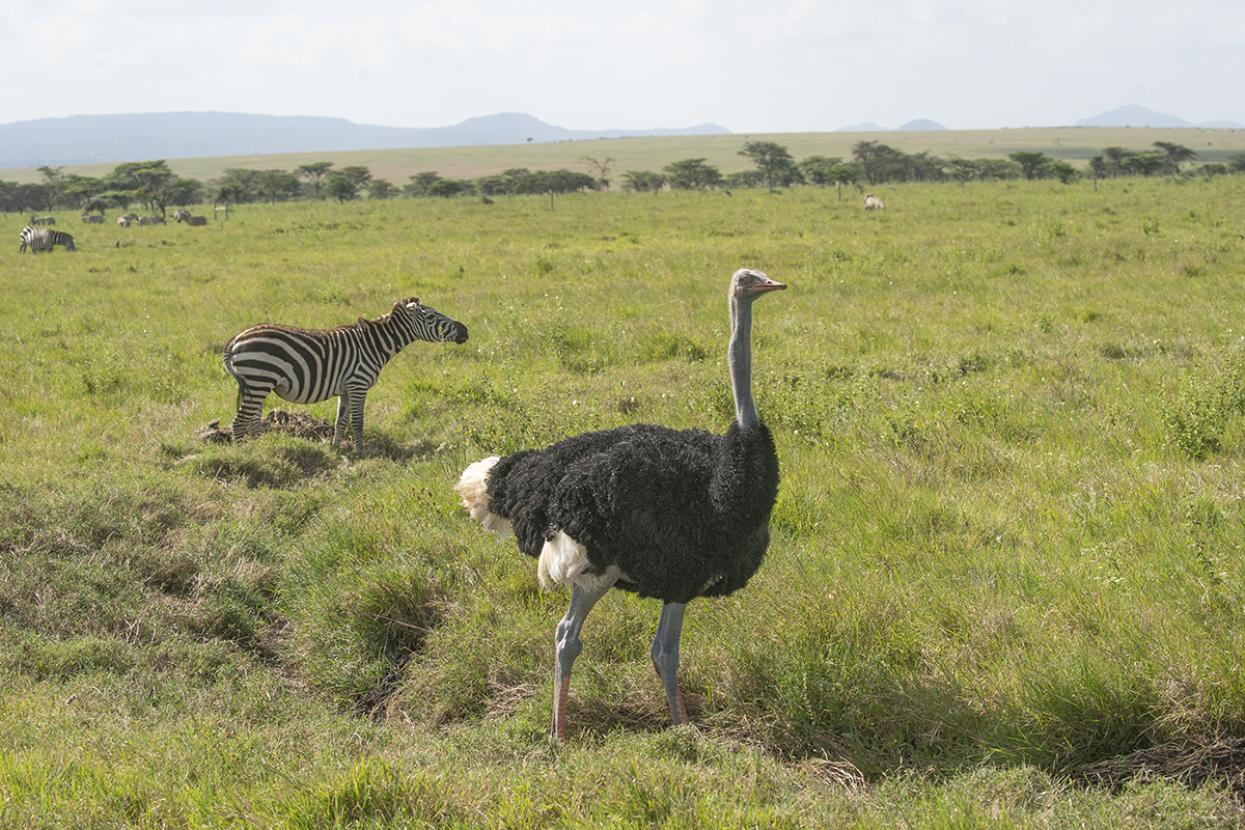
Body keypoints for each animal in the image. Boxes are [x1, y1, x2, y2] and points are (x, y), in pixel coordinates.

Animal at [223, 297, 469, 450]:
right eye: (431, 317)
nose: (465, 330)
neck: (374, 345)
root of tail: (234, 341)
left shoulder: (346, 389)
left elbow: (340, 421)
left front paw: (336, 449)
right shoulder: (358, 384)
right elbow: (358, 421)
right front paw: (361, 452)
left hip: (258, 385)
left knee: (253, 421)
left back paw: (262, 447)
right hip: (259, 380)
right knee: (239, 422)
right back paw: (246, 454)